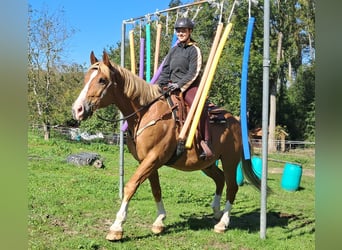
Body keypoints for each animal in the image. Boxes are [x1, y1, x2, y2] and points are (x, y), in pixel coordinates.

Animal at [71, 51, 262, 242]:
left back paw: (222, 223)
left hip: (230, 161)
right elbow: (156, 189)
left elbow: (131, 186)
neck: (145, 113)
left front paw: (116, 227)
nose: (77, 109)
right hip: (207, 164)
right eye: (86, 78)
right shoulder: (148, 161)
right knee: (220, 179)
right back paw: (216, 211)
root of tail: (236, 121)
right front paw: (159, 221)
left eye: (102, 80)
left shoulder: (154, 158)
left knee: (232, 187)